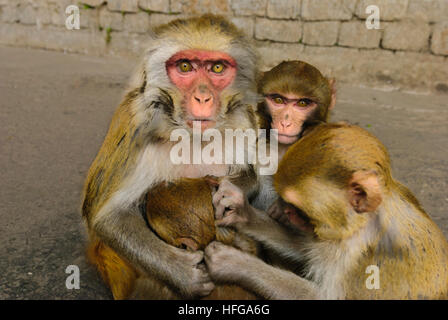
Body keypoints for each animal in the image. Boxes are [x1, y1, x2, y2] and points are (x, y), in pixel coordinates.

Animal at [81, 15, 260, 300]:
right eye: (185, 66)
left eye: (217, 68)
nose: (202, 97)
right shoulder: (136, 122)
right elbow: (109, 217)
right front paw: (183, 274)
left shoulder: (243, 118)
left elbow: (249, 174)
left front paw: (228, 193)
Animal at [206, 123, 448, 300]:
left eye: (296, 207)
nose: (286, 212)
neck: (364, 223)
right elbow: (308, 247)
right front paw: (240, 211)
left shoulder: (363, 258)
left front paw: (234, 263)